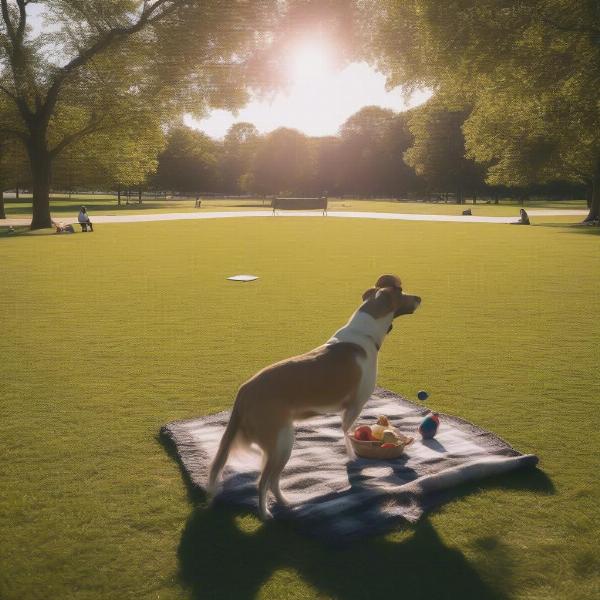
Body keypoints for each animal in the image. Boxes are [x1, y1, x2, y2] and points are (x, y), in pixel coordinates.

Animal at [207, 274, 422, 516]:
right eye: (402, 292)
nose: (420, 298)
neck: (363, 333)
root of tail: (244, 391)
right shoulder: (353, 407)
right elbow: (347, 434)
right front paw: (353, 459)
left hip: (280, 445)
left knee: (272, 482)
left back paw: (287, 503)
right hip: (281, 443)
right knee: (264, 483)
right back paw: (266, 513)